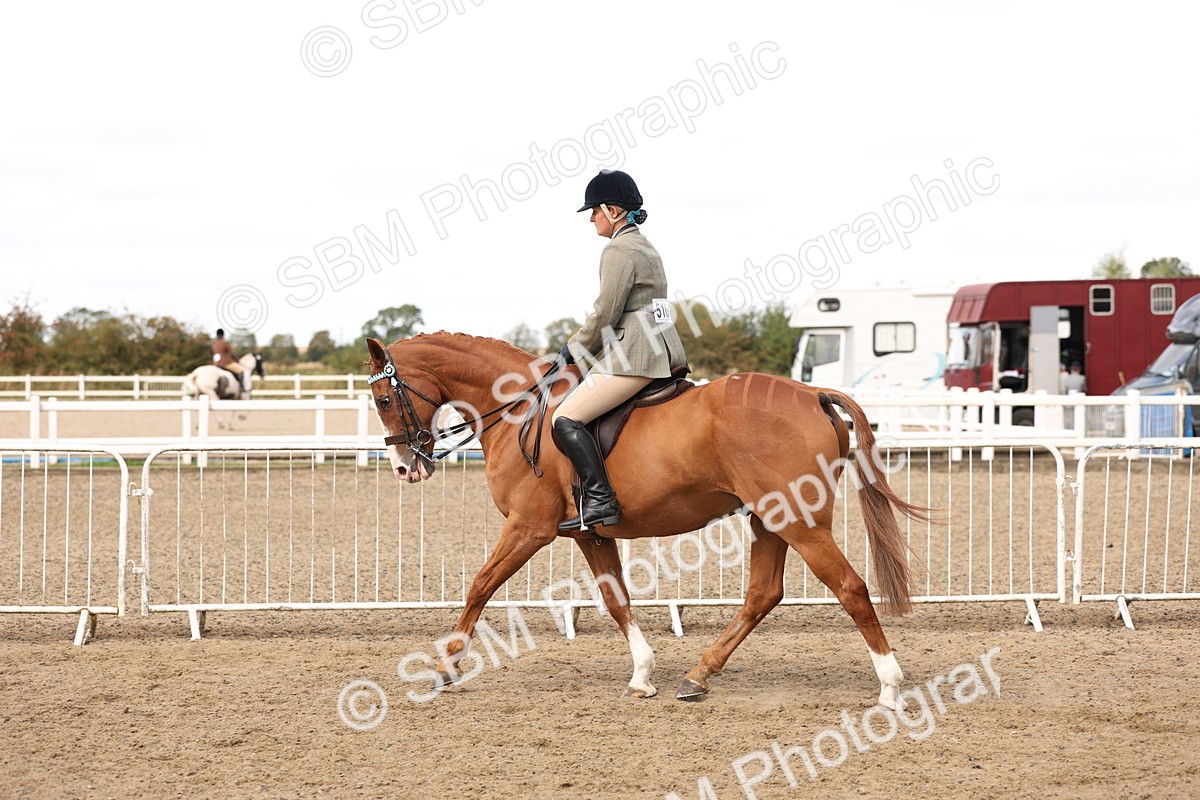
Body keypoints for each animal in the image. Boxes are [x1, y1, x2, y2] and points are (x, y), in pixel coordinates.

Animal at [364, 332, 928, 709]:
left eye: (385, 398)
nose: (404, 468)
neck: (518, 410)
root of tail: (812, 393)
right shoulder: (590, 535)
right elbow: (616, 600)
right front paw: (642, 674)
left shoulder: (528, 527)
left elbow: (480, 585)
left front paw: (446, 665)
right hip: (770, 520)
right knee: (763, 594)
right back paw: (698, 675)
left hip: (799, 523)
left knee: (850, 588)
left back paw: (890, 685)